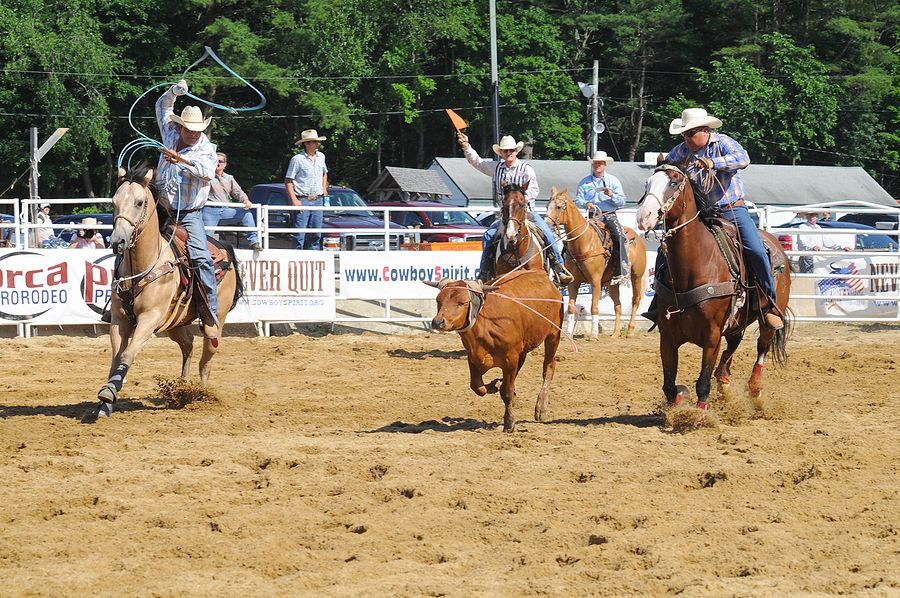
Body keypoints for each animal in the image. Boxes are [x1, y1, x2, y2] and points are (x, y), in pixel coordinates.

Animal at [91, 165, 242, 419]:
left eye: (140, 202)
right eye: (113, 202)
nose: (117, 241)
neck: (144, 265)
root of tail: (225, 248)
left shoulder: (149, 318)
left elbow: (127, 354)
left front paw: (109, 394)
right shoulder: (119, 320)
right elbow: (116, 357)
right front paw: (106, 400)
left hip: (216, 320)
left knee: (206, 359)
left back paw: (202, 396)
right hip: (175, 323)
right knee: (188, 344)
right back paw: (183, 387)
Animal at [544, 186, 647, 338]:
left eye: (558, 207)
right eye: (547, 206)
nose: (545, 224)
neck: (584, 242)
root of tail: (637, 238)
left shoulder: (595, 281)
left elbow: (594, 307)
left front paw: (593, 334)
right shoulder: (574, 283)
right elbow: (571, 307)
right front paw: (568, 333)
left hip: (636, 276)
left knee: (635, 300)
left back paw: (629, 330)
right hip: (611, 284)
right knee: (618, 305)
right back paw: (615, 333)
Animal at [636, 164, 790, 411]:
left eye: (673, 183)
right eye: (647, 184)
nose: (644, 217)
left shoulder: (712, 335)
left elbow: (703, 382)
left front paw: (698, 414)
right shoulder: (667, 336)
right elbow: (669, 385)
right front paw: (680, 399)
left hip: (769, 316)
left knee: (762, 346)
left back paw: (755, 389)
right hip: (737, 321)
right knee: (733, 345)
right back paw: (724, 382)